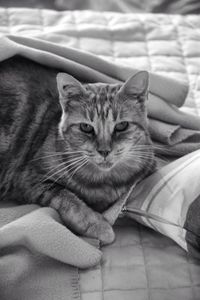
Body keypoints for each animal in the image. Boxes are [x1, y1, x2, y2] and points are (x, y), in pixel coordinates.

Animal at [0, 55, 155, 244]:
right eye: (86, 127)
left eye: (122, 126)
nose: (104, 151)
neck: (104, 181)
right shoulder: (30, 179)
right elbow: (68, 199)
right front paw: (99, 226)